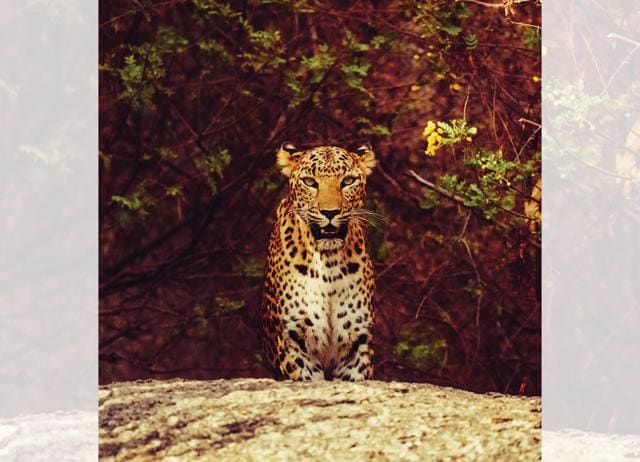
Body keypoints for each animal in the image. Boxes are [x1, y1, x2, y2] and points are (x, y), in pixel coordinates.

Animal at [258, 142, 377, 381]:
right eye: (310, 182)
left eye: (348, 181)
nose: (330, 212)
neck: (329, 263)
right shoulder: (293, 339)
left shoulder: (357, 343)